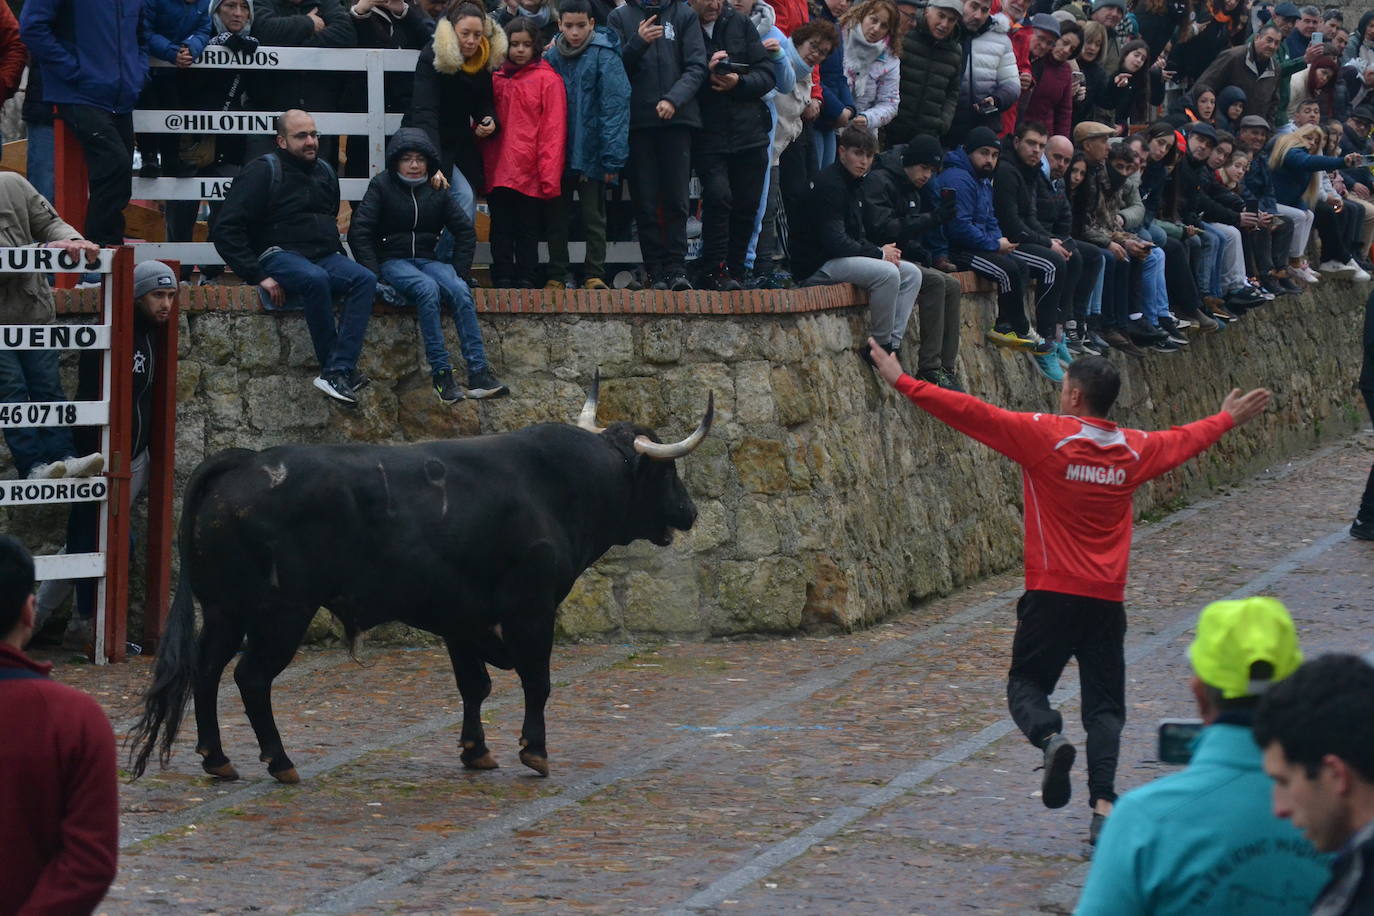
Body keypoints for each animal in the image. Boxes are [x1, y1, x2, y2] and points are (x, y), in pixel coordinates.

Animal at [126, 384, 719, 785]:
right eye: (666, 473)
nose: (689, 512)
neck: (558, 485)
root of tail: (243, 462)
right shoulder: (530, 609)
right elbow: (536, 680)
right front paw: (535, 750)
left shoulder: (461, 615)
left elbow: (474, 684)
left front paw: (476, 750)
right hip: (280, 614)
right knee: (250, 677)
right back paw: (280, 761)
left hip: (225, 611)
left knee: (205, 671)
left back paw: (218, 758)